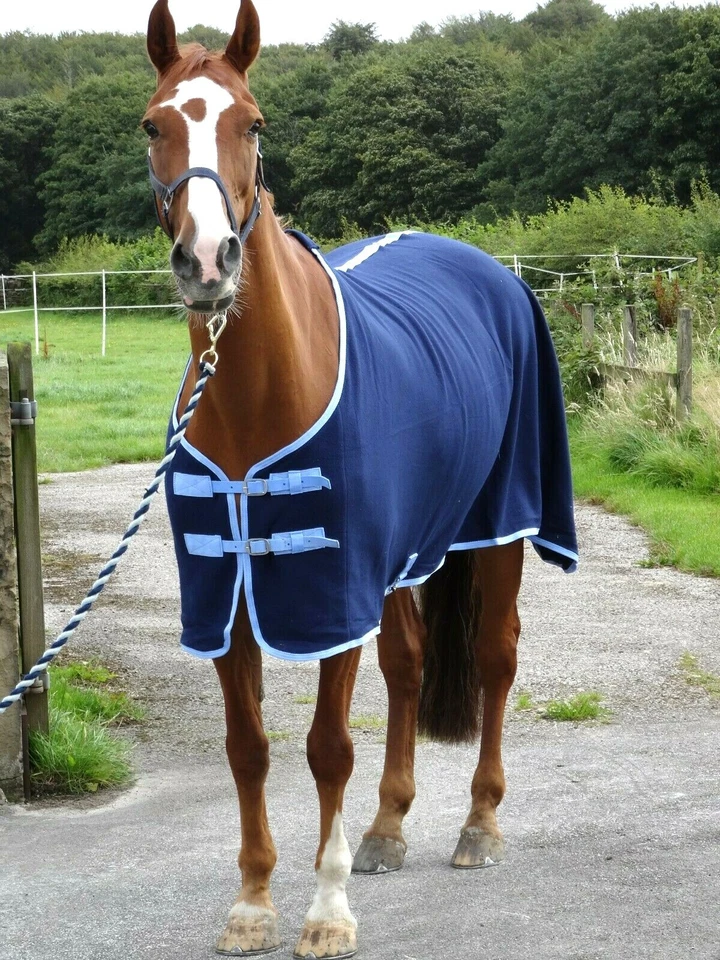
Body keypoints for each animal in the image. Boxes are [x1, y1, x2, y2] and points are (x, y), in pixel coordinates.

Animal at [143, 2, 578, 956]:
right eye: (154, 125)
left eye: (253, 121)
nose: (208, 262)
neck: (259, 393)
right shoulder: (227, 594)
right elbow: (248, 746)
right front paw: (253, 902)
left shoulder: (330, 586)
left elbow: (327, 746)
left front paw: (326, 909)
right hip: (407, 550)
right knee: (408, 665)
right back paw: (386, 828)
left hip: (500, 524)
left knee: (495, 659)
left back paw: (478, 825)